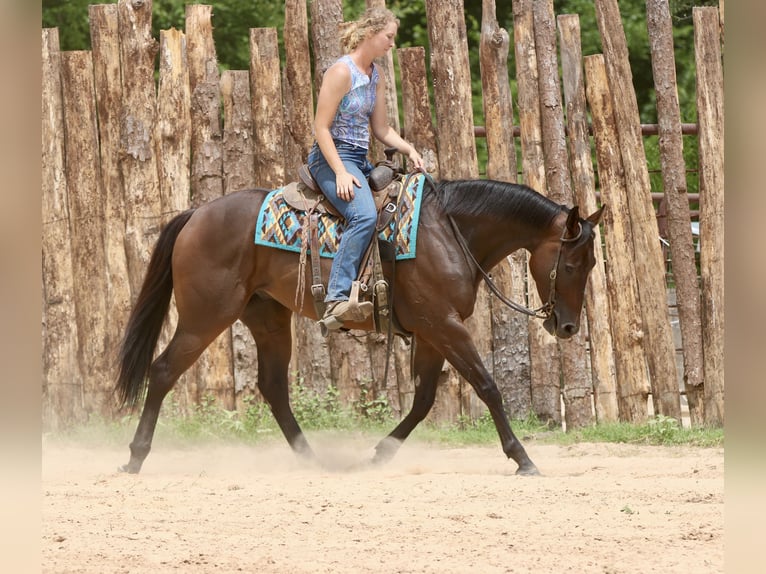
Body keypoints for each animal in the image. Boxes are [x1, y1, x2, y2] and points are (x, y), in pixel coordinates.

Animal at [115, 174, 604, 475]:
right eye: (572, 263)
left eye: (591, 263)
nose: (567, 328)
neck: (449, 231)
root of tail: (195, 214)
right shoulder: (445, 326)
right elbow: (487, 386)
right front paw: (522, 458)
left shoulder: (432, 331)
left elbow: (424, 399)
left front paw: (380, 453)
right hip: (205, 316)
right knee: (163, 371)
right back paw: (135, 457)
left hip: (267, 317)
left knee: (273, 387)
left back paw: (312, 459)